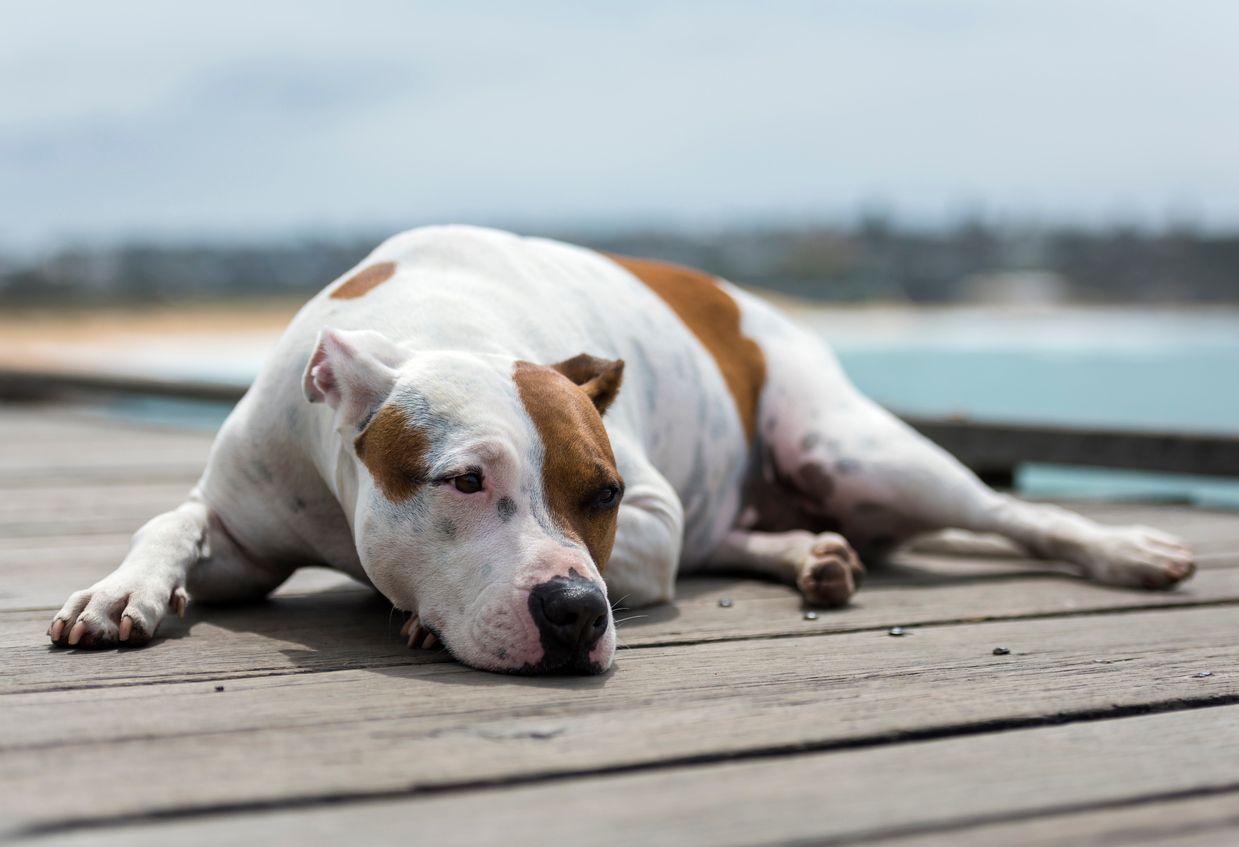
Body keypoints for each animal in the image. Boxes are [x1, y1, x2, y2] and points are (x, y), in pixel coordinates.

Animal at [45, 225, 1189, 673]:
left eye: (601, 491)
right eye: (464, 480)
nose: (572, 614)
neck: (434, 320)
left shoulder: (655, 515)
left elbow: (654, 548)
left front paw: (409, 613)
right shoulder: (248, 524)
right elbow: (176, 517)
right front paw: (122, 590)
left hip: (855, 449)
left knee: (1009, 510)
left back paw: (1127, 549)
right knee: (752, 534)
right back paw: (810, 555)